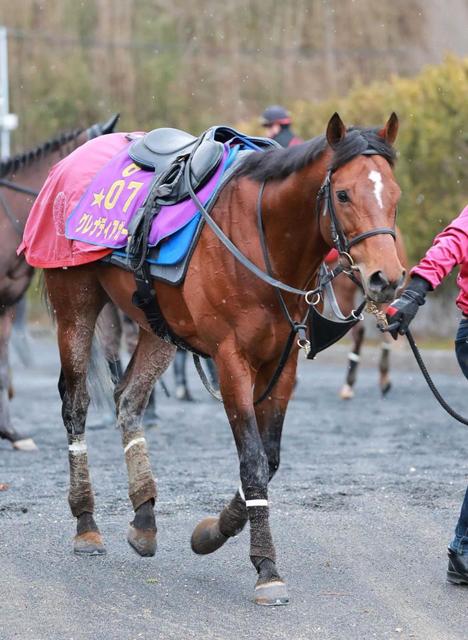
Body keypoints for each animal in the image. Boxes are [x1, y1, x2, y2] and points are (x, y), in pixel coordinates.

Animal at [38, 112, 404, 608]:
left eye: (395, 195)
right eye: (343, 194)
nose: (387, 278)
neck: (262, 237)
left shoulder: (282, 364)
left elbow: (269, 460)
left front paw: (213, 531)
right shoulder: (232, 362)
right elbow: (252, 461)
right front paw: (266, 567)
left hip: (156, 324)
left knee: (128, 399)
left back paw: (144, 516)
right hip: (75, 300)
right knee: (75, 405)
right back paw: (86, 523)